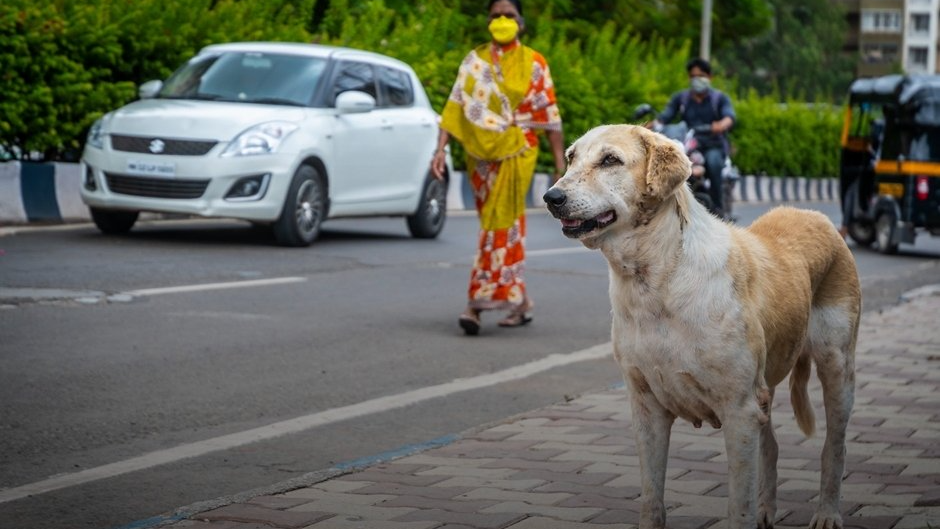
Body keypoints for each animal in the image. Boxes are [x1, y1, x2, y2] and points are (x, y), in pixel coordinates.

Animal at [544, 125, 860, 528]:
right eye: (571, 158)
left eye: (610, 160)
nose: (551, 197)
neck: (658, 280)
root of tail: (815, 215)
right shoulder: (646, 407)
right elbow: (652, 498)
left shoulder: (740, 410)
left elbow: (738, 508)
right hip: (766, 388)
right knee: (772, 446)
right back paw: (767, 511)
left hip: (837, 367)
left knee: (835, 445)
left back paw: (827, 513)